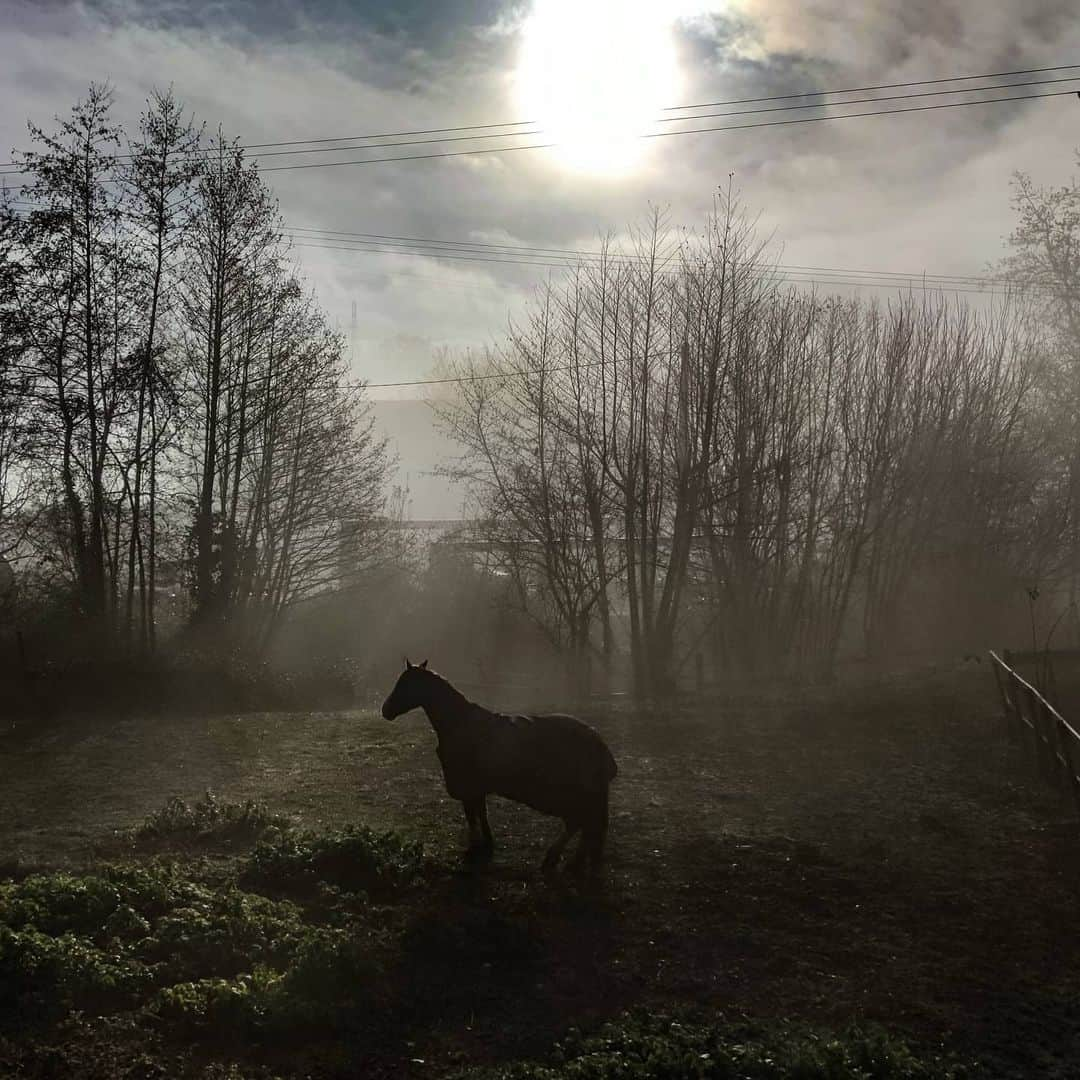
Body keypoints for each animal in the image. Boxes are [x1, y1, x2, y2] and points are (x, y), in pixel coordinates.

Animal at [380, 656, 617, 876]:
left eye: (404, 684)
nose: (385, 710)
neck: (460, 723)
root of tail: (599, 744)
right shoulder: (477, 788)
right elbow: (481, 814)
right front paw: (487, 842)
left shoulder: (468, 787)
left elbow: (472, 817)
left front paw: (475, 846)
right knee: (585, 827)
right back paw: (570, 862)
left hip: (574, 795)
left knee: (580, 824)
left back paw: (559, 859)